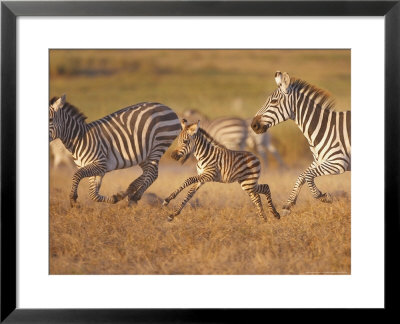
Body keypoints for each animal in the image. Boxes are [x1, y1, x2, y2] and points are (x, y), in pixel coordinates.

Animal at [49, 95, 180, 205]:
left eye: (50, 120)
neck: (80, 139)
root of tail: (167, 107)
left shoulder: (100, 164)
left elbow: (77, 175)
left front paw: (73, 198)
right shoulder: (96, 170)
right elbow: (93, 195)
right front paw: (115, 198)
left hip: (159, 145)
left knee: (152, 173)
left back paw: (135, 196)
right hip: (144, 154)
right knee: (150, 172)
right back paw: (128, 192)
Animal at [252, 71, 352, 214]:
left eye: (274, 101)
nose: (253, 125)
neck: (323, 128)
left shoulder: (338, 163)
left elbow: (308, 176)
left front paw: (323, 197)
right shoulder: (319, 160)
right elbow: (301, 176)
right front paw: (288, 204)